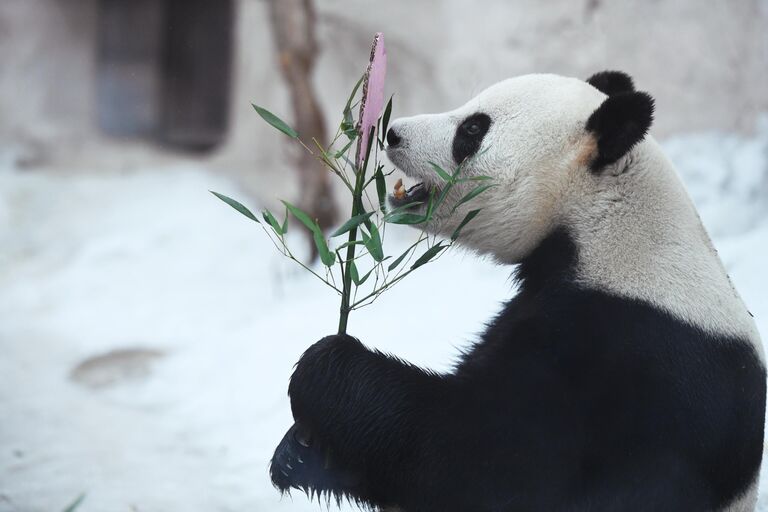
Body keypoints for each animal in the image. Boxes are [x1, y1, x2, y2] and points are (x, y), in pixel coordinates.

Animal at [270, 71, 760, 512]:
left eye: (472, 130)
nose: (392, 132)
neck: (602, 223)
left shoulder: (630, 363)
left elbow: (479, 460)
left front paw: (325, 368)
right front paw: (297, 452)